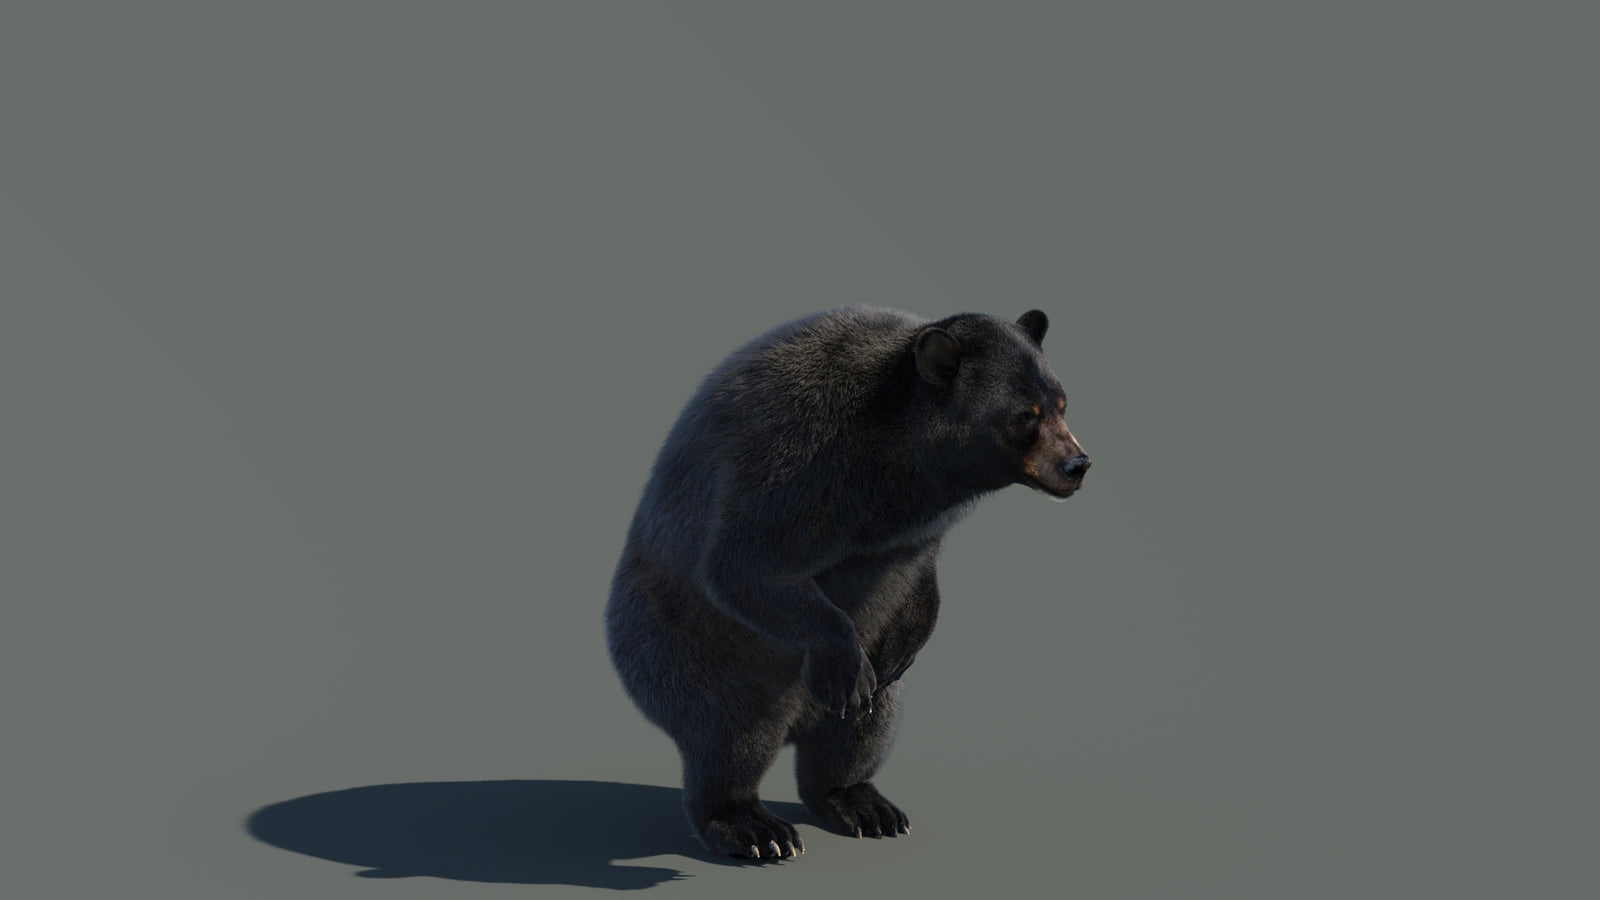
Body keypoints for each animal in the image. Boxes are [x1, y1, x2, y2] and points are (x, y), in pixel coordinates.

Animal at [605, 306, 1090, 860]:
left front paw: (905, 642)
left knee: (864, 727)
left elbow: (916, 580)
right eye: (1025, 415)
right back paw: (754, 827)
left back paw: (862, 803)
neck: (901, 465)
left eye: (1061, 403)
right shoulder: (802, 457)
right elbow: (743, 564)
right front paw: (842, 666)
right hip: (690, 653)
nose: (1078, 464)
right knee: (731, 734)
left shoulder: (919, 526)